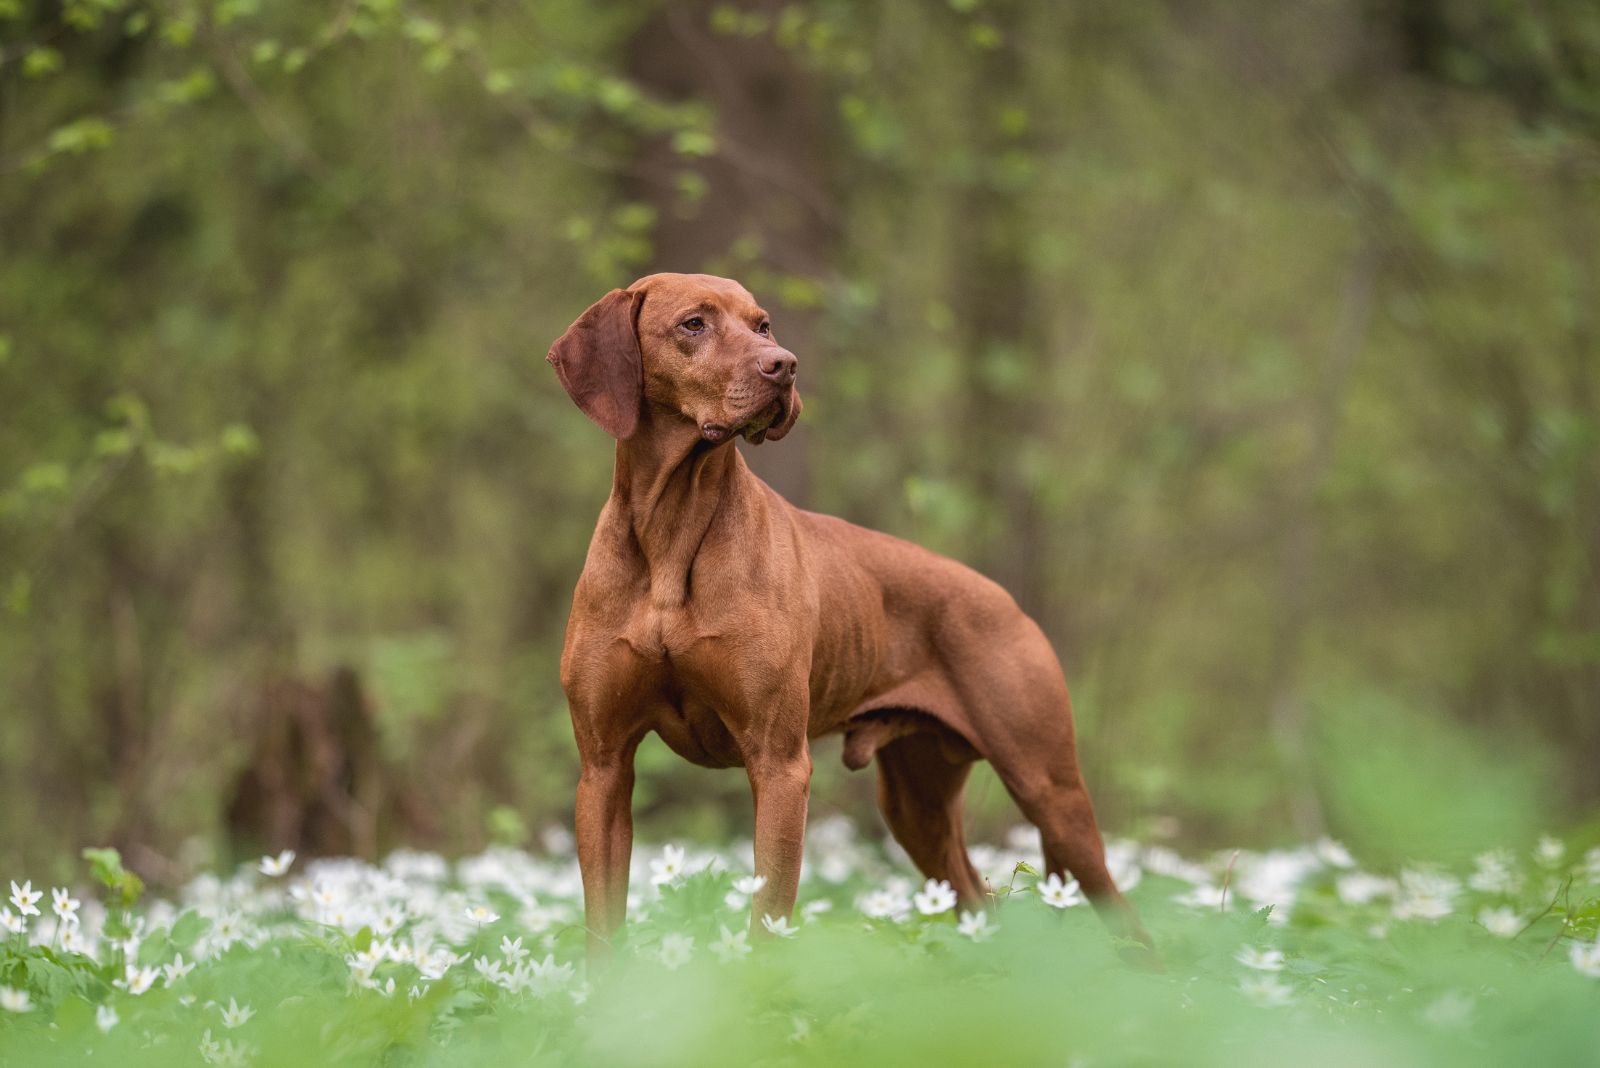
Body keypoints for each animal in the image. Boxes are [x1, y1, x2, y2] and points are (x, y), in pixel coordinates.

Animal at [550, 271, 1152, 952]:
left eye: (762, 325)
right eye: (693, 325)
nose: (784, 365)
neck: (671, 533)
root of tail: (1007, 602)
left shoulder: (780, 764)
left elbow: (767, 920)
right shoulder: (603, 767)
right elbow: (603, 929)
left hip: (1051, 793)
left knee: (1130, 924)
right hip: (917, 805)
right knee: (976, 900)